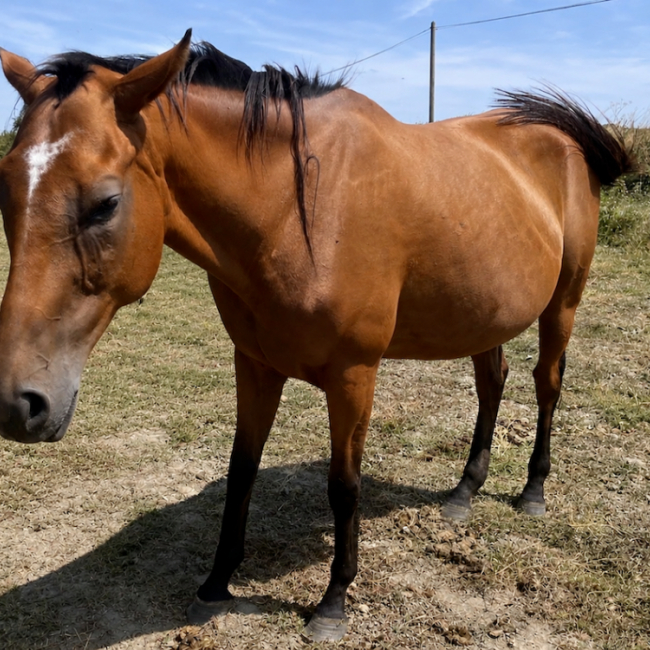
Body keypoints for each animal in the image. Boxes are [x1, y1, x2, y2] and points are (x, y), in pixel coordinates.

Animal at [0, 31, 635, 641]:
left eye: (106, 203)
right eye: (6, 189)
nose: (17, 405)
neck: (294, 209)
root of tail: (561, 141)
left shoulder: (354, 376)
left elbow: (344, 486)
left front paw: (333, 603)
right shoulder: (254, 363)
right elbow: (242, 469)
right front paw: (217, 581)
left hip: (563, 304)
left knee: (547, 384)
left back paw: (532, 492)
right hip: (485, 314)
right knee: (492, 383)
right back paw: (463, 492)